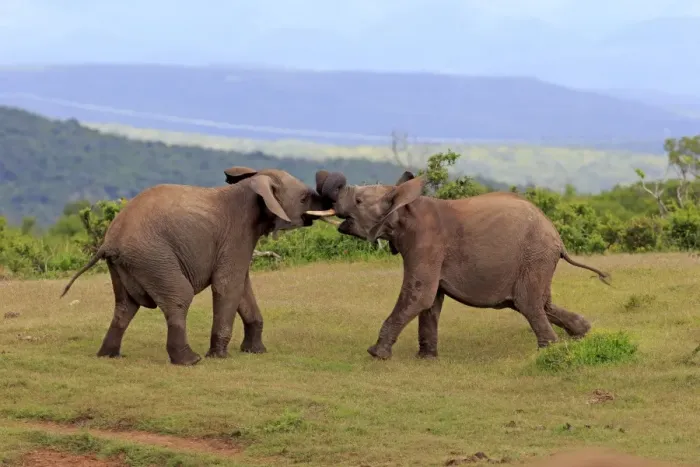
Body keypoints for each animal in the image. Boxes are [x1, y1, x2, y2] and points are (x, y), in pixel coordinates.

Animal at [60, 167, 337, 365]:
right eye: (304, 198)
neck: (252, 183)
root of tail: (109, 242)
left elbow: (242, 287)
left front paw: (256, 352)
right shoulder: (236, 234)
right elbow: (228, 286)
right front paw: (220, 357)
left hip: (126, 265)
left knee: (125, 306)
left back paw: (110, 356)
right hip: (153, 257)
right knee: (179, 297)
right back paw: (190, 361)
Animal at [315, 169, 611, 360]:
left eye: (358, 201)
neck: (404, 203)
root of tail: (558, 240)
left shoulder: (426, 243)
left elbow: (419, 295)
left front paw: (376, 355)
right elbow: (430, 302)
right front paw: (426, 358)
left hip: (534, 257)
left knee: (529, 304)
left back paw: (550, 351)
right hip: (537, 261)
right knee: (540, 303)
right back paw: (582, 332)